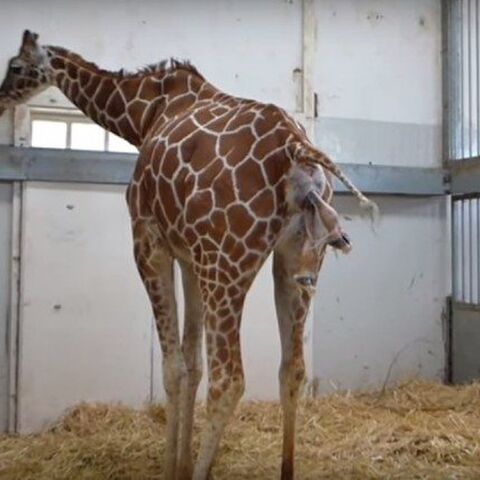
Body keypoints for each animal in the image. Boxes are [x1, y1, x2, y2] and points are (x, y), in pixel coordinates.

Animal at [0, 31, 376, 480]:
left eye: (15, 66)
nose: (0, 98)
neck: (143, 113)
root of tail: (299, 151)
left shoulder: (150, 241)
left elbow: (175, 366)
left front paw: (173, 466)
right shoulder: (190, 254)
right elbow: (192, 361)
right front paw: (182, 462)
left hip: (228, 264)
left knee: (229, 379)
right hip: (294, 263)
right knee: (292, 369)